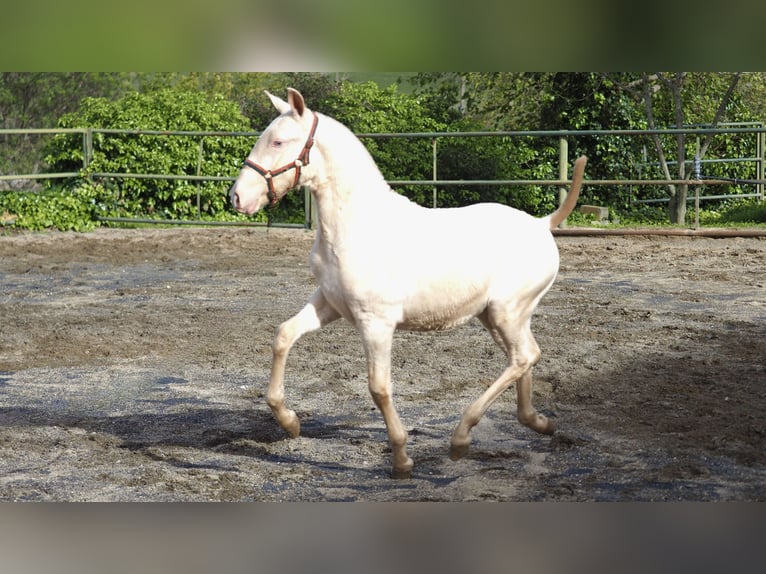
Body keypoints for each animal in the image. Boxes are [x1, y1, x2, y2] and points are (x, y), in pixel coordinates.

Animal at [230, 88, 588, 480]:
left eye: (278, 141)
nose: (237, 197)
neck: (355, 227)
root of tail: (542, 224)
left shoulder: (376, 323)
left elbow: (379, 387)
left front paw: (401, 459)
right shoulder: (329, 303)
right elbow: (283, 335)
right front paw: (290, 422)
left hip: (506, 312)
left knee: (524, 357)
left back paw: (461, 439)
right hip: (497, 317)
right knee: (524, 357)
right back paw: (537, 422)